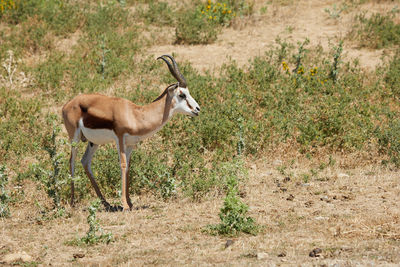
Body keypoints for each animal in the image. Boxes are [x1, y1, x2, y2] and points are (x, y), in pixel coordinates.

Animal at [62, 55, 200, 213]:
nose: (197, 109)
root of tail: (67, 104)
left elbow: (128, 167)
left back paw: (106, 203)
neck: (135, 114)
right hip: (74, 137)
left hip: (93, 142)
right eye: (182, 94)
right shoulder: (120, 139)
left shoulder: (131, 144)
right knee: (72, 161)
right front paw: (125, 205)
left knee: (85, 161)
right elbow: (122, 165)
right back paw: (73, 202)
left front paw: (130, 202)